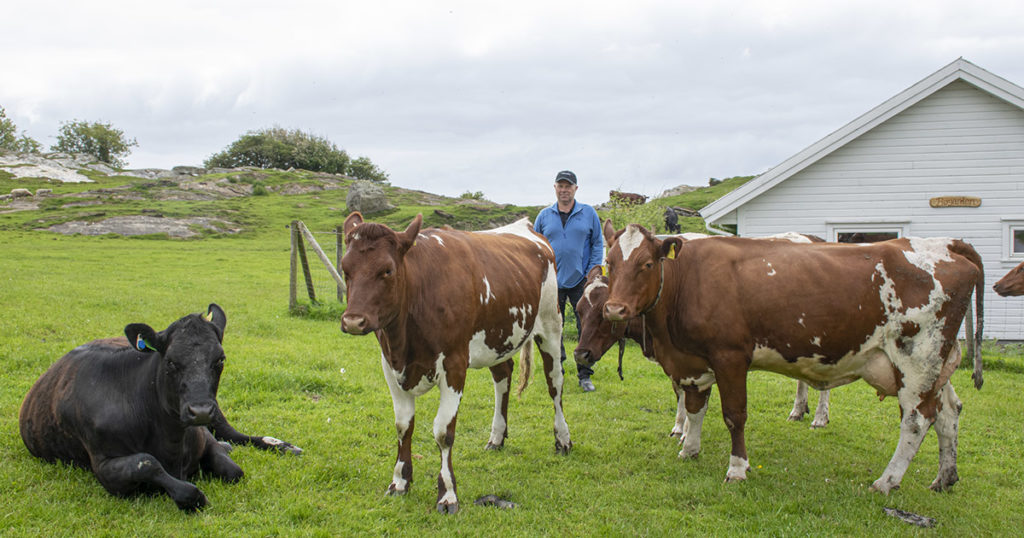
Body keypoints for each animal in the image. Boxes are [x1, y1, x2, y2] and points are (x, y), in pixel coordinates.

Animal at [19, 303, 301, 510]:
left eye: (220, 359)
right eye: (171, 361)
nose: (200, 411)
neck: (170, 437)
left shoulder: (204, 436)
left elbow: (234, 470)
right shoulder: (103, 466)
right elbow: (150, 465)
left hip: (217, 412)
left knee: (234, 434)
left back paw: (282, 446)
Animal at [339, 213, 573, 512]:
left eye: (387, 270)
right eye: (345, 269)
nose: (353, 321)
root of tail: (526, 226)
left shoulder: (454, 365)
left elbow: (443, 432)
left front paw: (448, 494)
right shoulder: (390, 366)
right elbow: (403, 426)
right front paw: (400, 482)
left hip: (551, 325)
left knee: (555, 383)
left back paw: (563, 439)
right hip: (499, 335)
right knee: (503, 377)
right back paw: (497, 437)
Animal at [598, 224, 983, 493]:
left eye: (647, 263)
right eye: (609, 264)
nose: (615, 309)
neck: (689, 280)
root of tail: (944, 244)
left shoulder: (730, 357)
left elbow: (734, 416)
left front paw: (737, 469)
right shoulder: (692, 361)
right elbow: (695, 408)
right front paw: (689, 450)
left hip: (916, 361)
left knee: (917, 421)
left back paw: (886, 481)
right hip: (937, 366)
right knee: (949, 413)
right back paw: (944, 477)